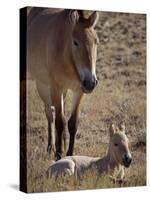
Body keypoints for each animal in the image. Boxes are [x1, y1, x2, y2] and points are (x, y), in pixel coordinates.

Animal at [27, 7, 99, 160]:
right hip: (43, 86)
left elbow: (72, 123)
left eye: (96, 41)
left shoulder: (79, 90)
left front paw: (69, 153)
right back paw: (51, 147)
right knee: (50, 114)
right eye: (75, 42)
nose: (90, 82)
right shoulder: (56, 88)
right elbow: (60, 122)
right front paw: (59, 155)